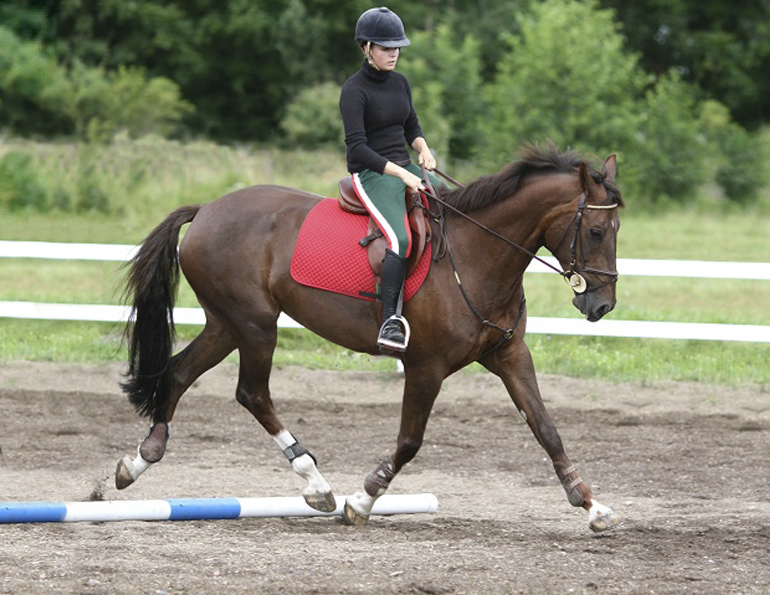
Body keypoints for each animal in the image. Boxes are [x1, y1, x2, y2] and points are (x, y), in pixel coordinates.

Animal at [115, 143, 623, 532]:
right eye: (597, 231)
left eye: (617, 230)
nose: (601, 307)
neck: (478, 256)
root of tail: (206, 209)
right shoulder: (425, 367)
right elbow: (410, 440)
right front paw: (361, 501)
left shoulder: (510, 355)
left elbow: (546, 429)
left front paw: (593, 506)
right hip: (256, 325)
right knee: (252, 393)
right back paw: (317, 485)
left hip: (226, 324)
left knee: (180, 372)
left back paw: (139, 461)